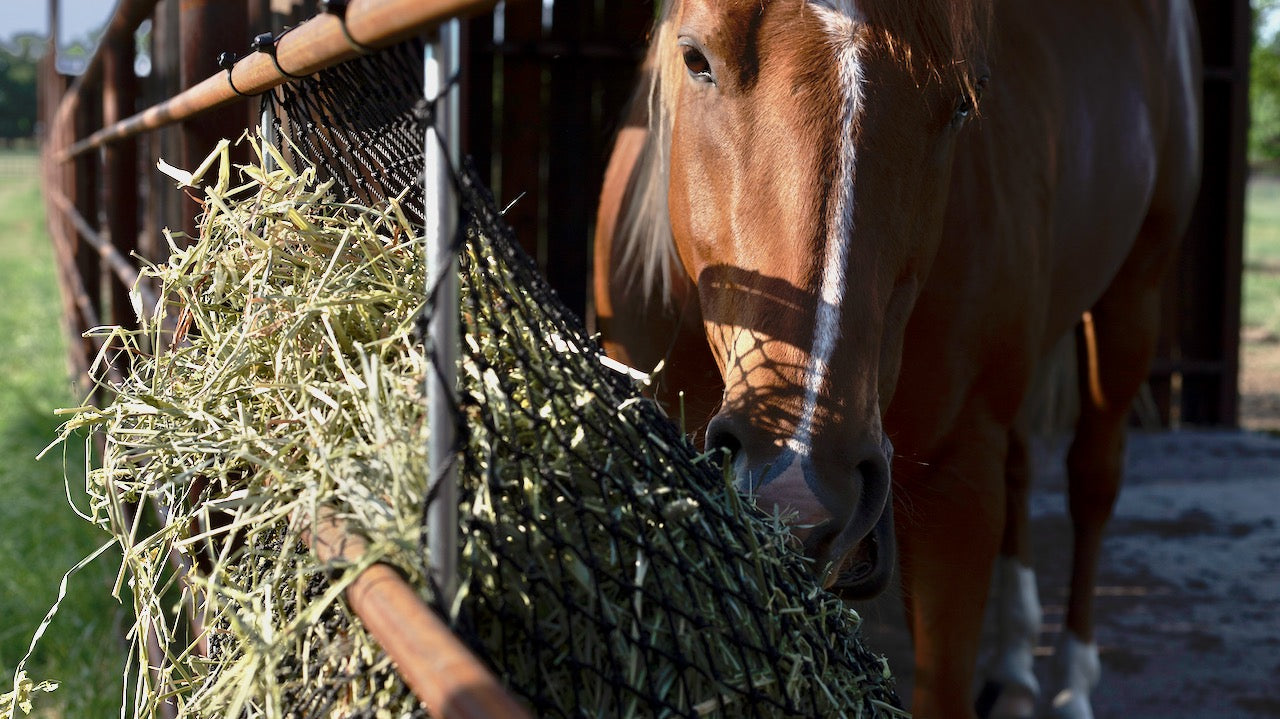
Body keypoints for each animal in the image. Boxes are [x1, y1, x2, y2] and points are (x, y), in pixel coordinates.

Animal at [593, 1, 1203, 716]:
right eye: (696, 58)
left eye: (965, 100)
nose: (798, 489)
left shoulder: (959, 487)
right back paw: (1016, 669)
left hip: (1135, 295)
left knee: (1092, 480)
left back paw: (1072, 683)